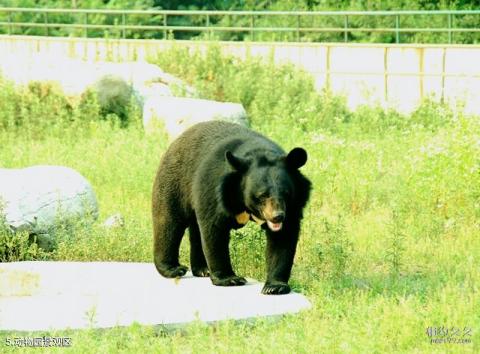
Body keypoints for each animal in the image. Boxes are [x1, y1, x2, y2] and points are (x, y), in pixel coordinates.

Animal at [154, 121, 312, 294]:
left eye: (286, 193)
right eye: (262, 195)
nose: (277, 216)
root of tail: (176, 141)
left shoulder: (294, 206)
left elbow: (283, 237)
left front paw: (275, 286)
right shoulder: (215, 190)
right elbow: (214, 229)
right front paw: (230, 279)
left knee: (195, 229)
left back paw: (203, 270)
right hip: (175, 181)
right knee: (169, 222)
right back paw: (173, 269)